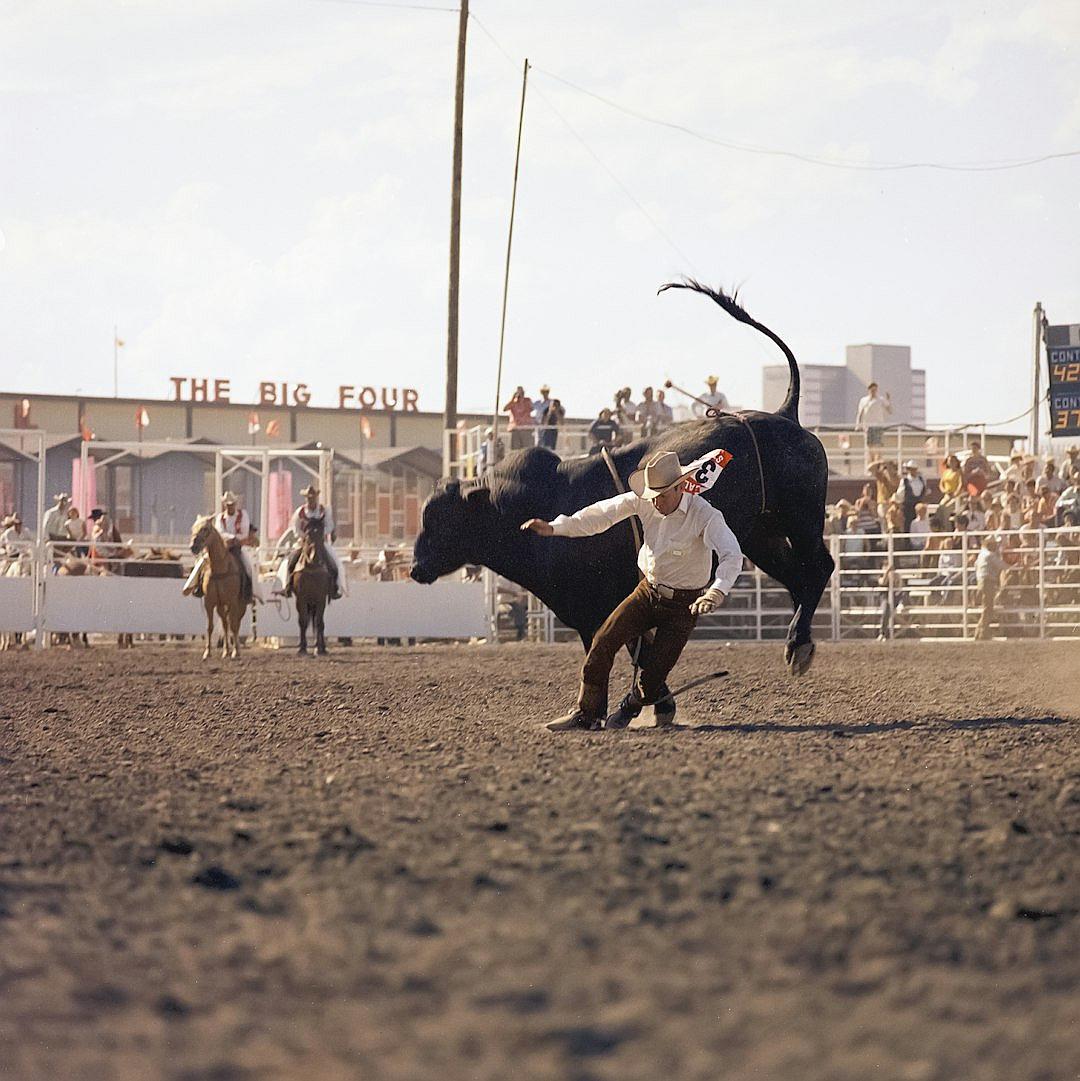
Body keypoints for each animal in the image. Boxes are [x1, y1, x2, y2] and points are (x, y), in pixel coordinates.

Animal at [193, 514, 247, 657]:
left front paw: (236, 652)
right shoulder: (209, 602)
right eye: (193, 528)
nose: (193, 546)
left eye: (205, 529)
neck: (220, 568)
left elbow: (234, 625)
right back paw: (226, 650)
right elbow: (210, 627)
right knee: (225, 623)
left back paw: (235, 650)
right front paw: (207, 652)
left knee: (235, 623)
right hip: (221, 606)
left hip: (240, 605)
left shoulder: (233, 602)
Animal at [291, 516, 328, 657]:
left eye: (322, 535)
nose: (315, 557)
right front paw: (302, 648)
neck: (312, 568)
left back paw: (321, 646)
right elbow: (303, 622)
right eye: (307, 535)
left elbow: (319, 622)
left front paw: (320, 649)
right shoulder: (301, 598)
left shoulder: (321, 598)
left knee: (318, 622)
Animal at [408, 283, 830, 670]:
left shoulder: (593, 612)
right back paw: (798, 640)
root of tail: (785, 414)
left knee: (819, 567)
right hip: (760, 535)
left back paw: (798, 642)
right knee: (797, 577)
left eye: (440, 519)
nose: (415, 567)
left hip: (802, 518)